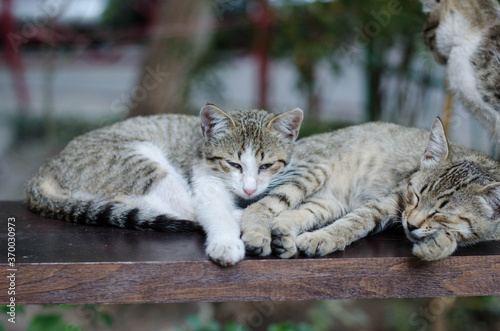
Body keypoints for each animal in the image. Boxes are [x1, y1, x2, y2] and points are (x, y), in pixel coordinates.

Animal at [25, 105, 302, 268]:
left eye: (266, 166)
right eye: (233, 164)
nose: (249, 189)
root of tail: (48, 166)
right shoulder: (204, 179)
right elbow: (212, 210)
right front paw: (225, 243)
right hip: (137, 161)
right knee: (186, 208)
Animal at [241, 119, 500, 262]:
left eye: (440, 212)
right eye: (416, 196)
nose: (411, 225)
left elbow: (455, 236)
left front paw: (438, 244)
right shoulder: (385, 202)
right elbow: (352, 224)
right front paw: (323, 238)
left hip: (330, 203)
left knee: (292, 213)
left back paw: (284, 234)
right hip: (310, 173)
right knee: (258, 206)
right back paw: (257, 233)